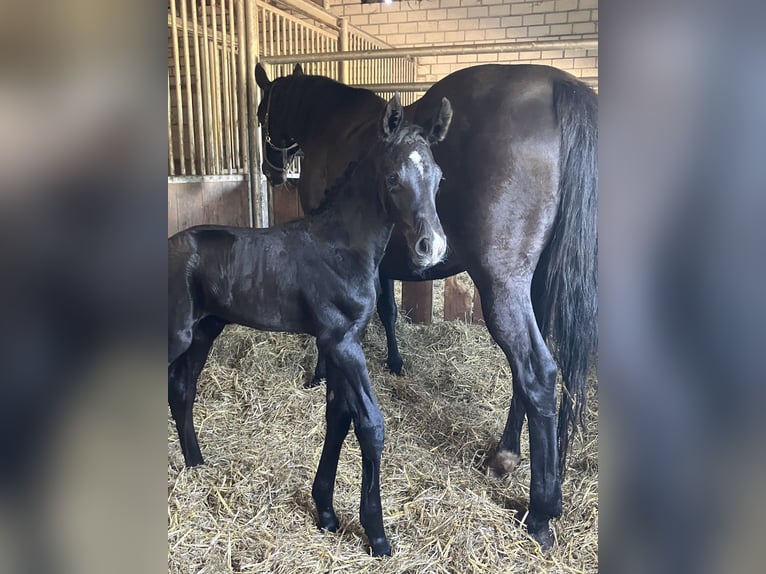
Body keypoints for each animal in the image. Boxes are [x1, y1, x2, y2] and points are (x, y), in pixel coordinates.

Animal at [168, 98, 452, 560]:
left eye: (439, 178)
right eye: (393, 177)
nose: (432, 247)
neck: (341, 247)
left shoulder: (340, 344)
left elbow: (338, 417)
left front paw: (326, 512)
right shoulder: (342, 343)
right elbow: (369, 424)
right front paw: (377, 534)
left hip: (204, 331)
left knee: (182, 391)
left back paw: (196, 463)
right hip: (175, 334)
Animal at [255, 62, 596, 548]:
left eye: (262, 111)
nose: (272, 171)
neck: (334, 123)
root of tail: (558, 85)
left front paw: (321, 372)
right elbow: (387, 312)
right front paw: (395, 363)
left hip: (503, 284)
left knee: (536, 371)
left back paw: (540, 514)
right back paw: (506, 455)